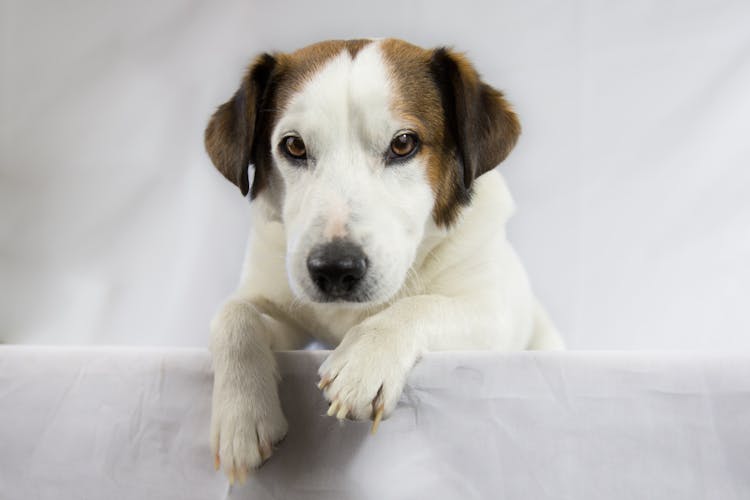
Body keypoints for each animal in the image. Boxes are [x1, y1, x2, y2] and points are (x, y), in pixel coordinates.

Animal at [204, 37, 564, 482]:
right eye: (294, 145)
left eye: (403, 143)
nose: (335, 269)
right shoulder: (282, 305)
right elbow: (233, 315)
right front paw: (241, 418)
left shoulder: (496, 318)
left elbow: (419, 305)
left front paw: (366, 357)